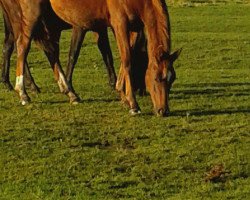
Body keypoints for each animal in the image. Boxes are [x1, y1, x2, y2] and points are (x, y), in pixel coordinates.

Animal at [49, 0, 181, 116]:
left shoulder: (135, 28)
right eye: (156, 78)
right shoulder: (120, 24)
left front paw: (122, 94)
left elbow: (127, 56)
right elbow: (127, 60)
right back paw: (68, 91)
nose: (163, 111)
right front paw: (133, 104)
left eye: (172, 79)